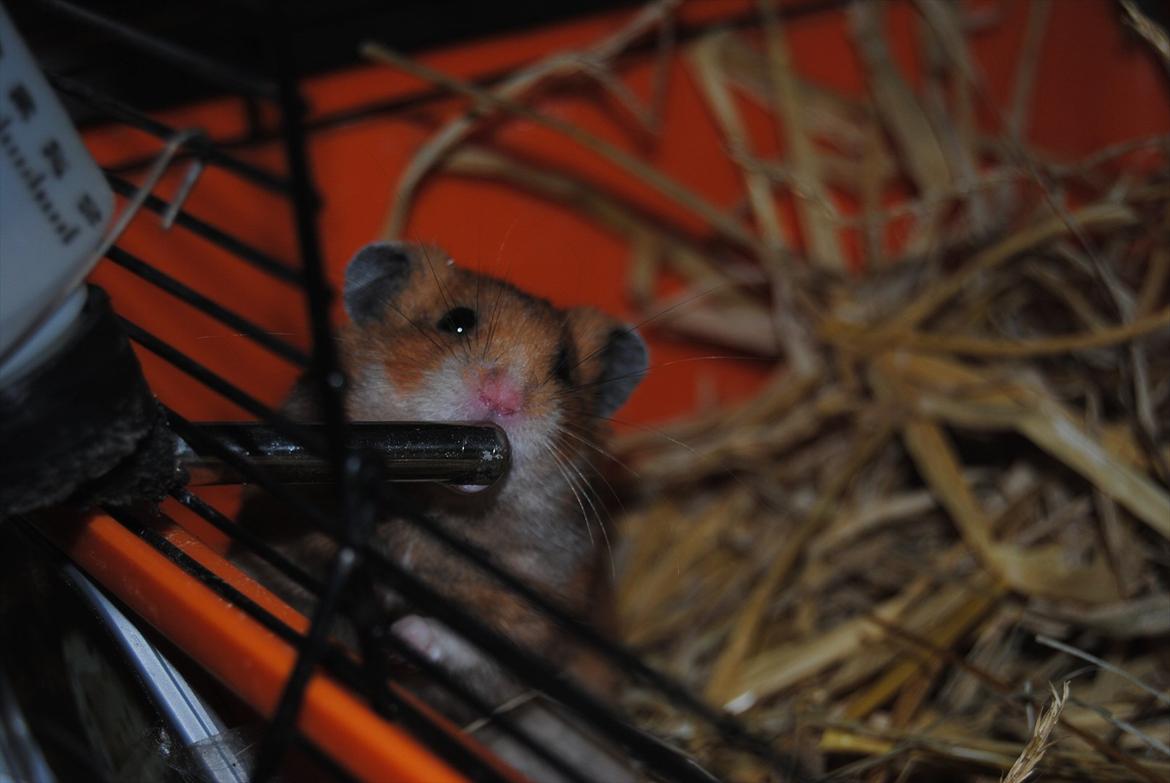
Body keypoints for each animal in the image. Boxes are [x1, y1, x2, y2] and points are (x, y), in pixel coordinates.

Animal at [237, 241, 648, 722]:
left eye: (564, 367)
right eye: (457, 321)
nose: (504, 399)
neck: (436, 508)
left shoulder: (538, 609)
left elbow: (475, 647)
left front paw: (403, 633)